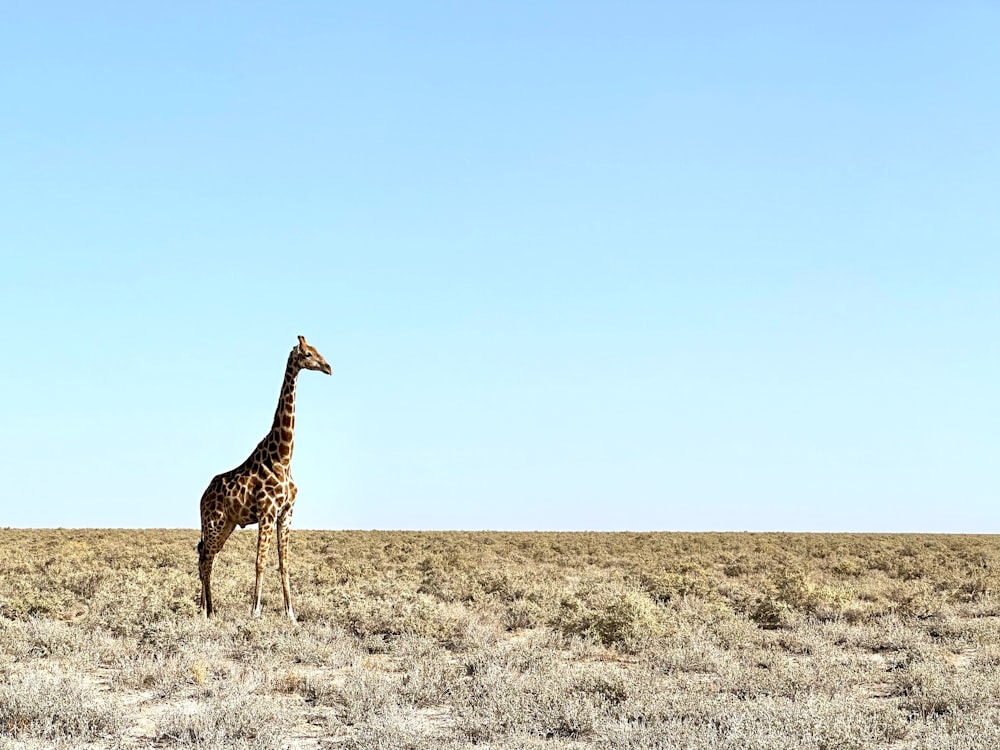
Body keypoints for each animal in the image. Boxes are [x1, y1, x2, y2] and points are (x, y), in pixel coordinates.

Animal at [196, 334, 332, 624]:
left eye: (317, 350)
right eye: (307, 354)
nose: (328, 368)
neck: (284, 457)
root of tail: (202, 497)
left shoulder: (286, 513)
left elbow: (284, 564)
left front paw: (291, 614)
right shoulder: (267, 512)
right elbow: (260, 562)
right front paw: (255, 611)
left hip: (227, 525)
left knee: (206, 557)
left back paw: (204, 608)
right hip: (214, 522)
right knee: (205, 559)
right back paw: (208, 611)